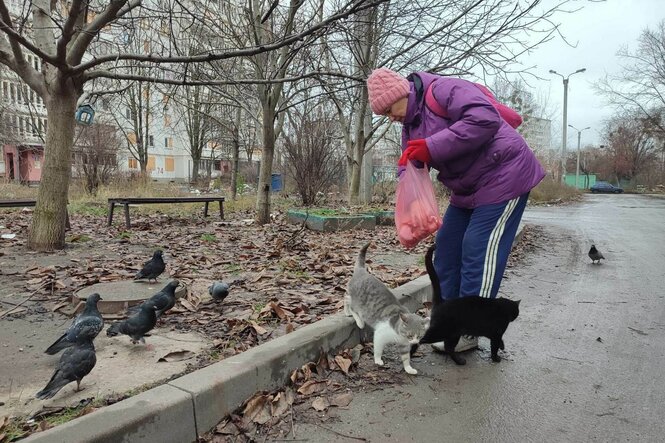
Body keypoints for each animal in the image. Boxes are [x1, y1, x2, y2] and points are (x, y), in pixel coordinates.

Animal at [344, 243, 428, 374]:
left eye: (419, 336)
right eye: (410, 335)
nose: (414, 343)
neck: (400, 335)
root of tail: (362, 271)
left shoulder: (404, 345)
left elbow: (406, 358)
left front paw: (408, 368)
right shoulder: (381, 334)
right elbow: (378, 348)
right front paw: (378, 360)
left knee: (346, 298)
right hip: (358, 303)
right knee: (350, 304)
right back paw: (358, 320)